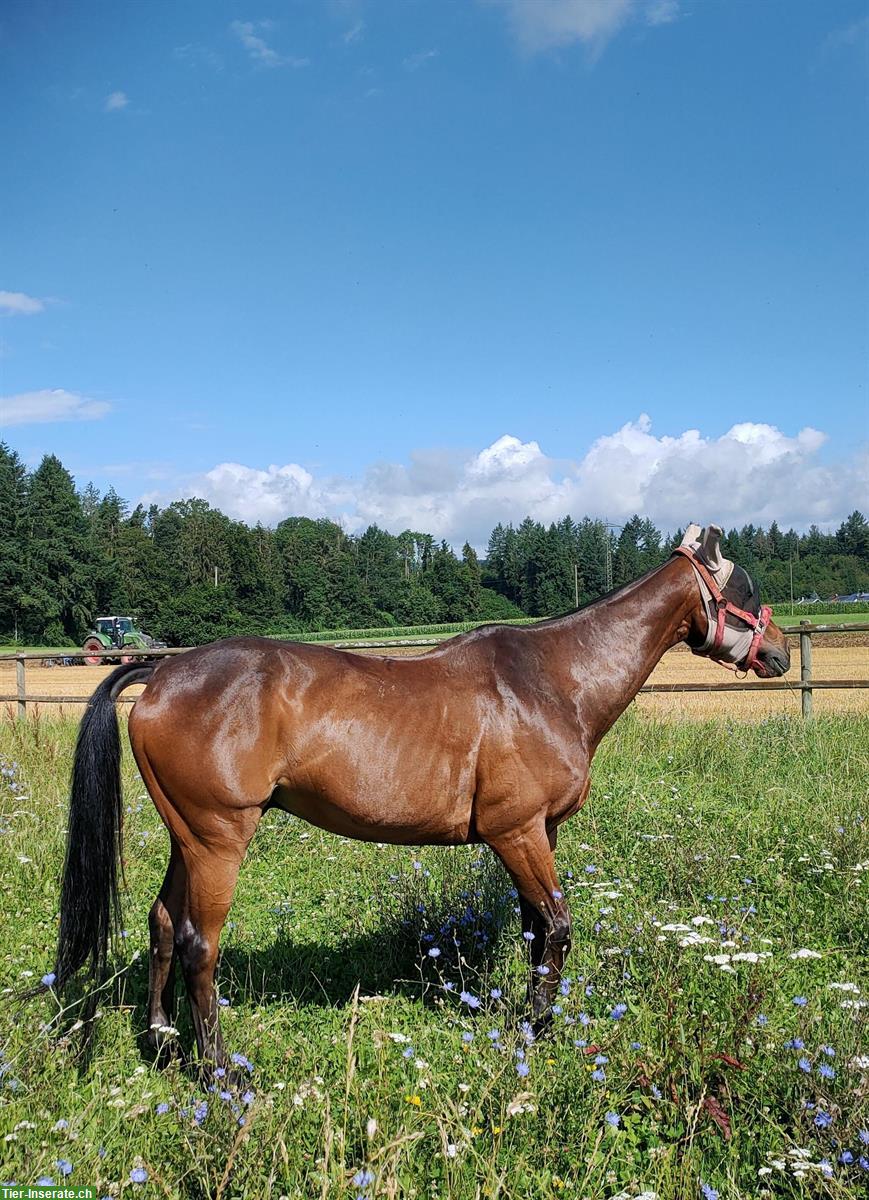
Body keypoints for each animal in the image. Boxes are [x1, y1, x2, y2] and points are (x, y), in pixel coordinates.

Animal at [44, 523, 787, 1080]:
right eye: (747, 587)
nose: (778, 654)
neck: (551, 681)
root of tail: (163, 670)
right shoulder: (517, 833)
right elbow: (558, 928)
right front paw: (533, 1030)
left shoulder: (538, 834)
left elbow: (535, 931)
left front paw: (535, 1025)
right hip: (218, 840)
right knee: (199, 944)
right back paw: (220, 1069)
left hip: (186, 839)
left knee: (162, 923)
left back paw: (164, 1040)